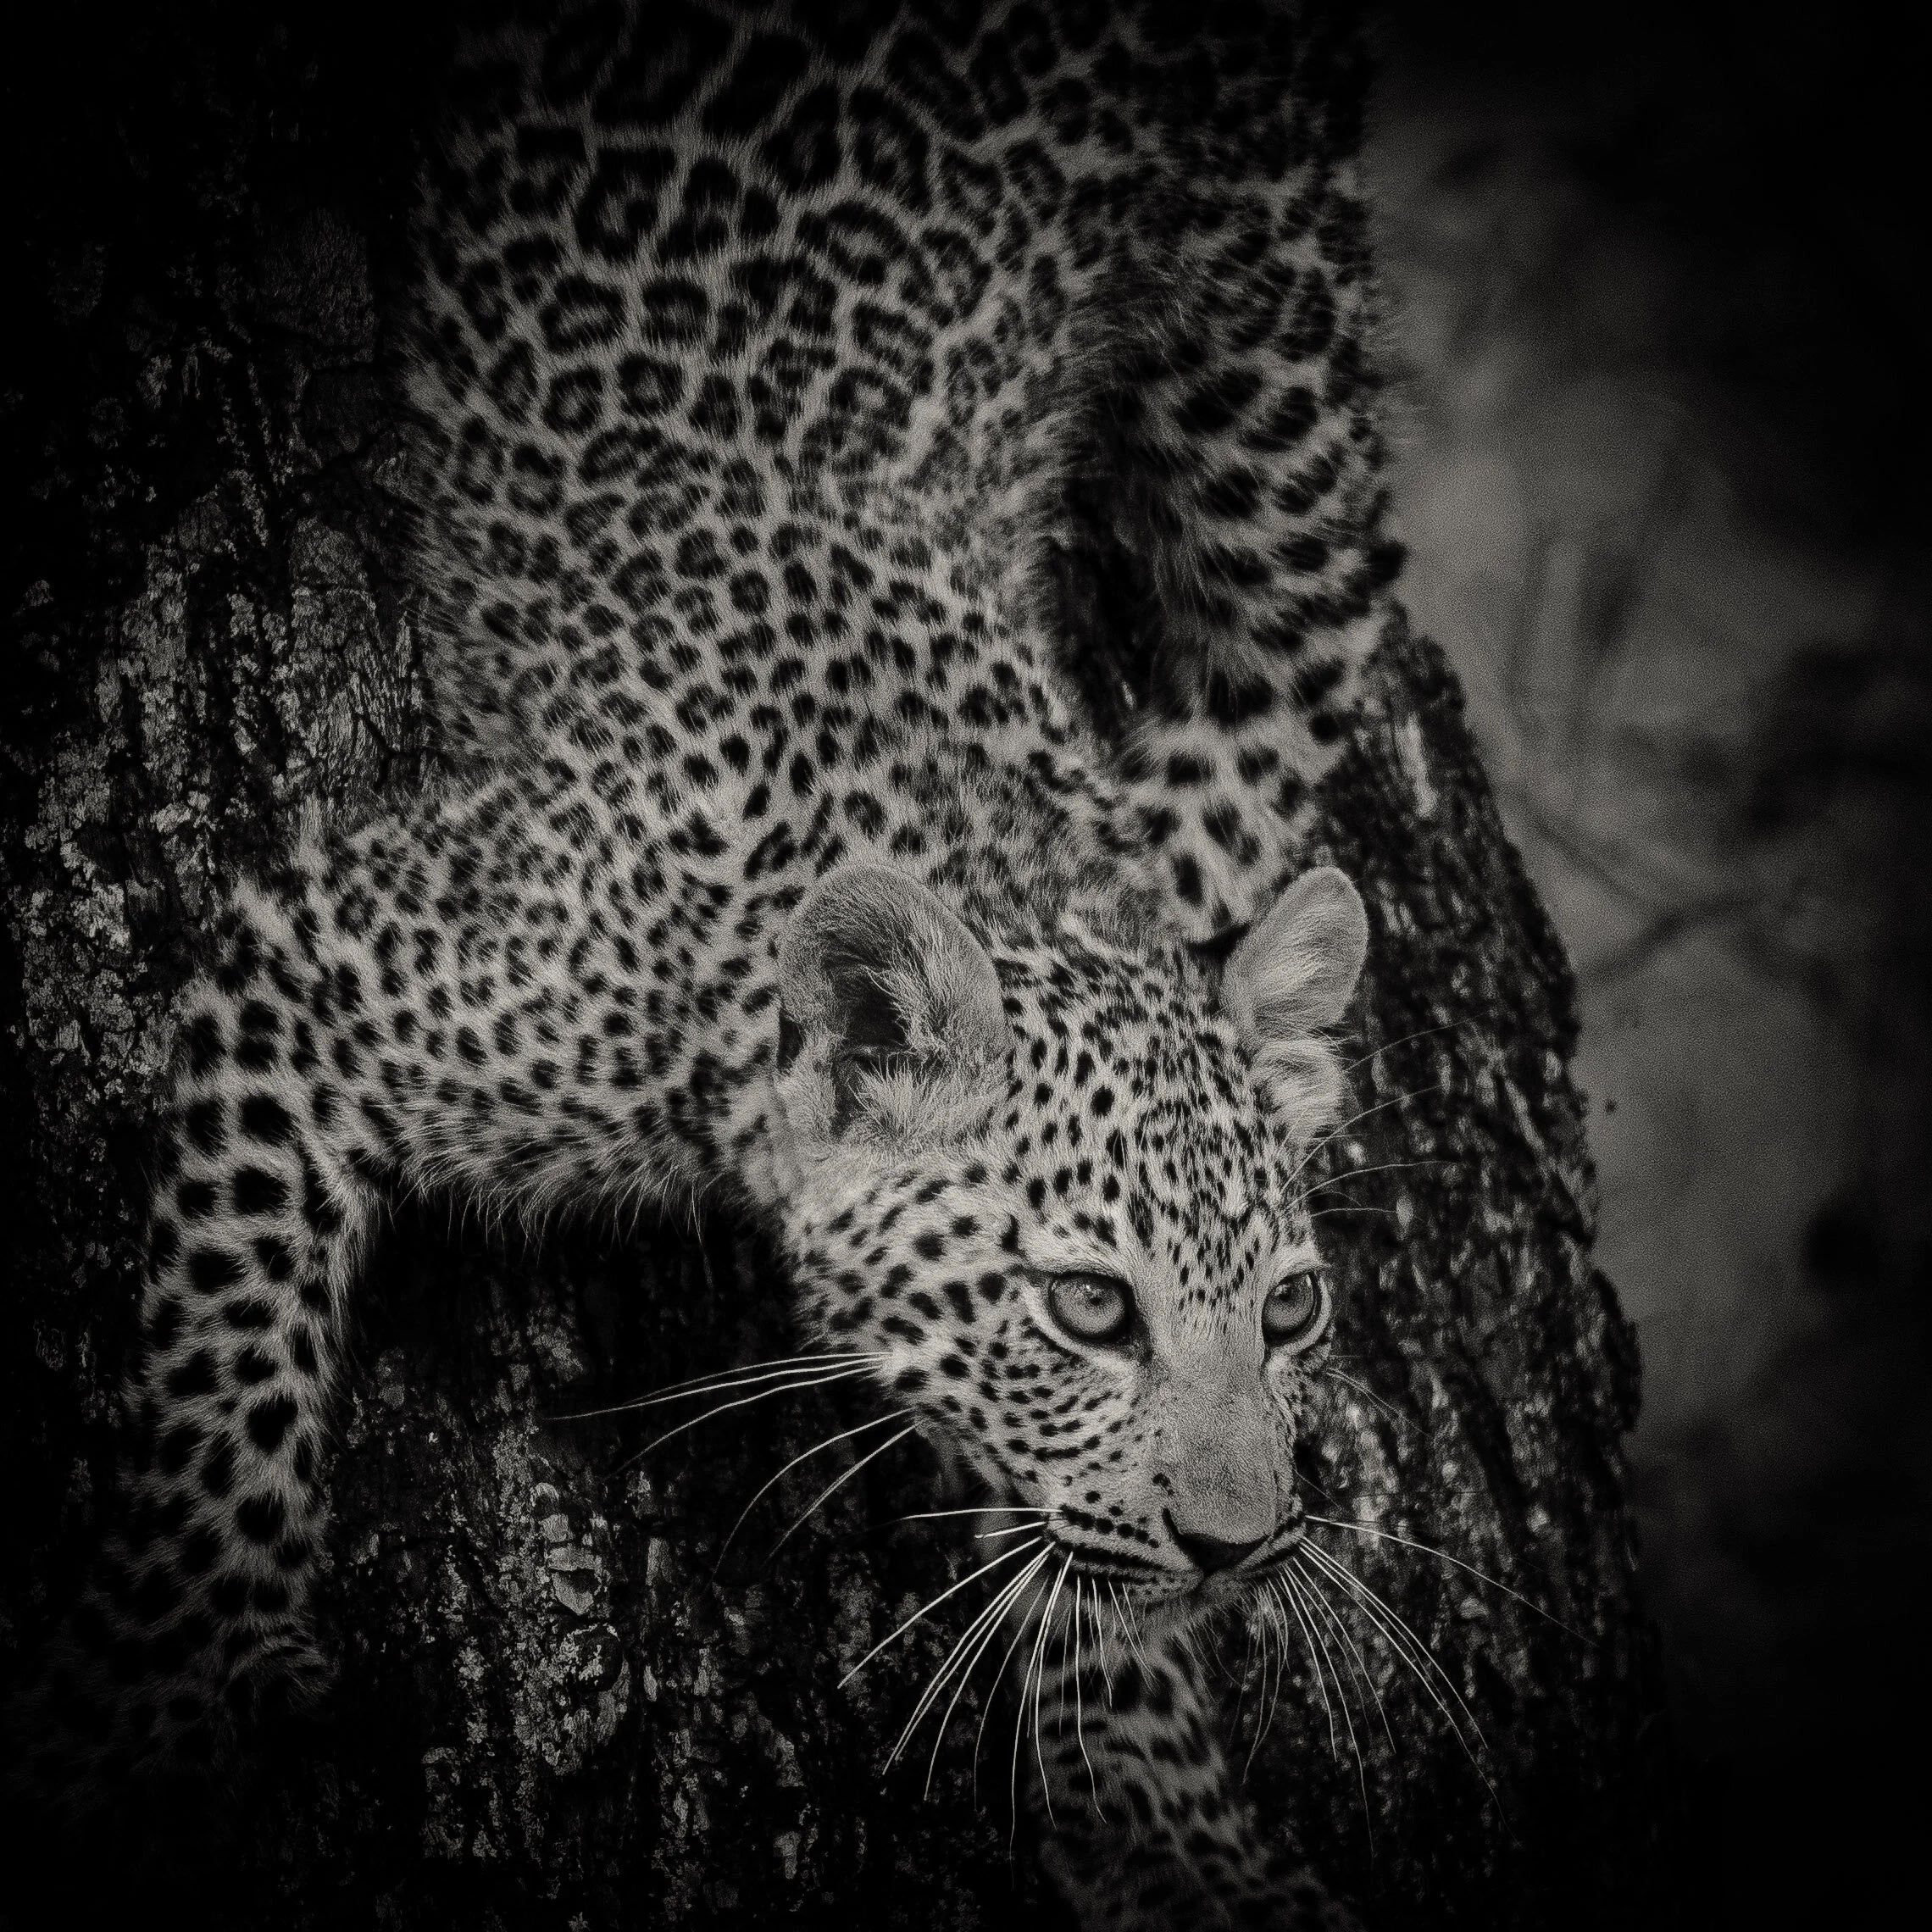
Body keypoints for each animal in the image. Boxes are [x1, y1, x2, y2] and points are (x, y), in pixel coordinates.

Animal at [12, 1, 1404, 1924]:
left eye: (1289, 1311)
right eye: (1087, 1309)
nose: (1242, 1546)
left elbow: (1067, 1548)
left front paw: (1161, 1809)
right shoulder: (324, 953)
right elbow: (223, 1360)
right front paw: (167, 1676)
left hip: (1274, 365)